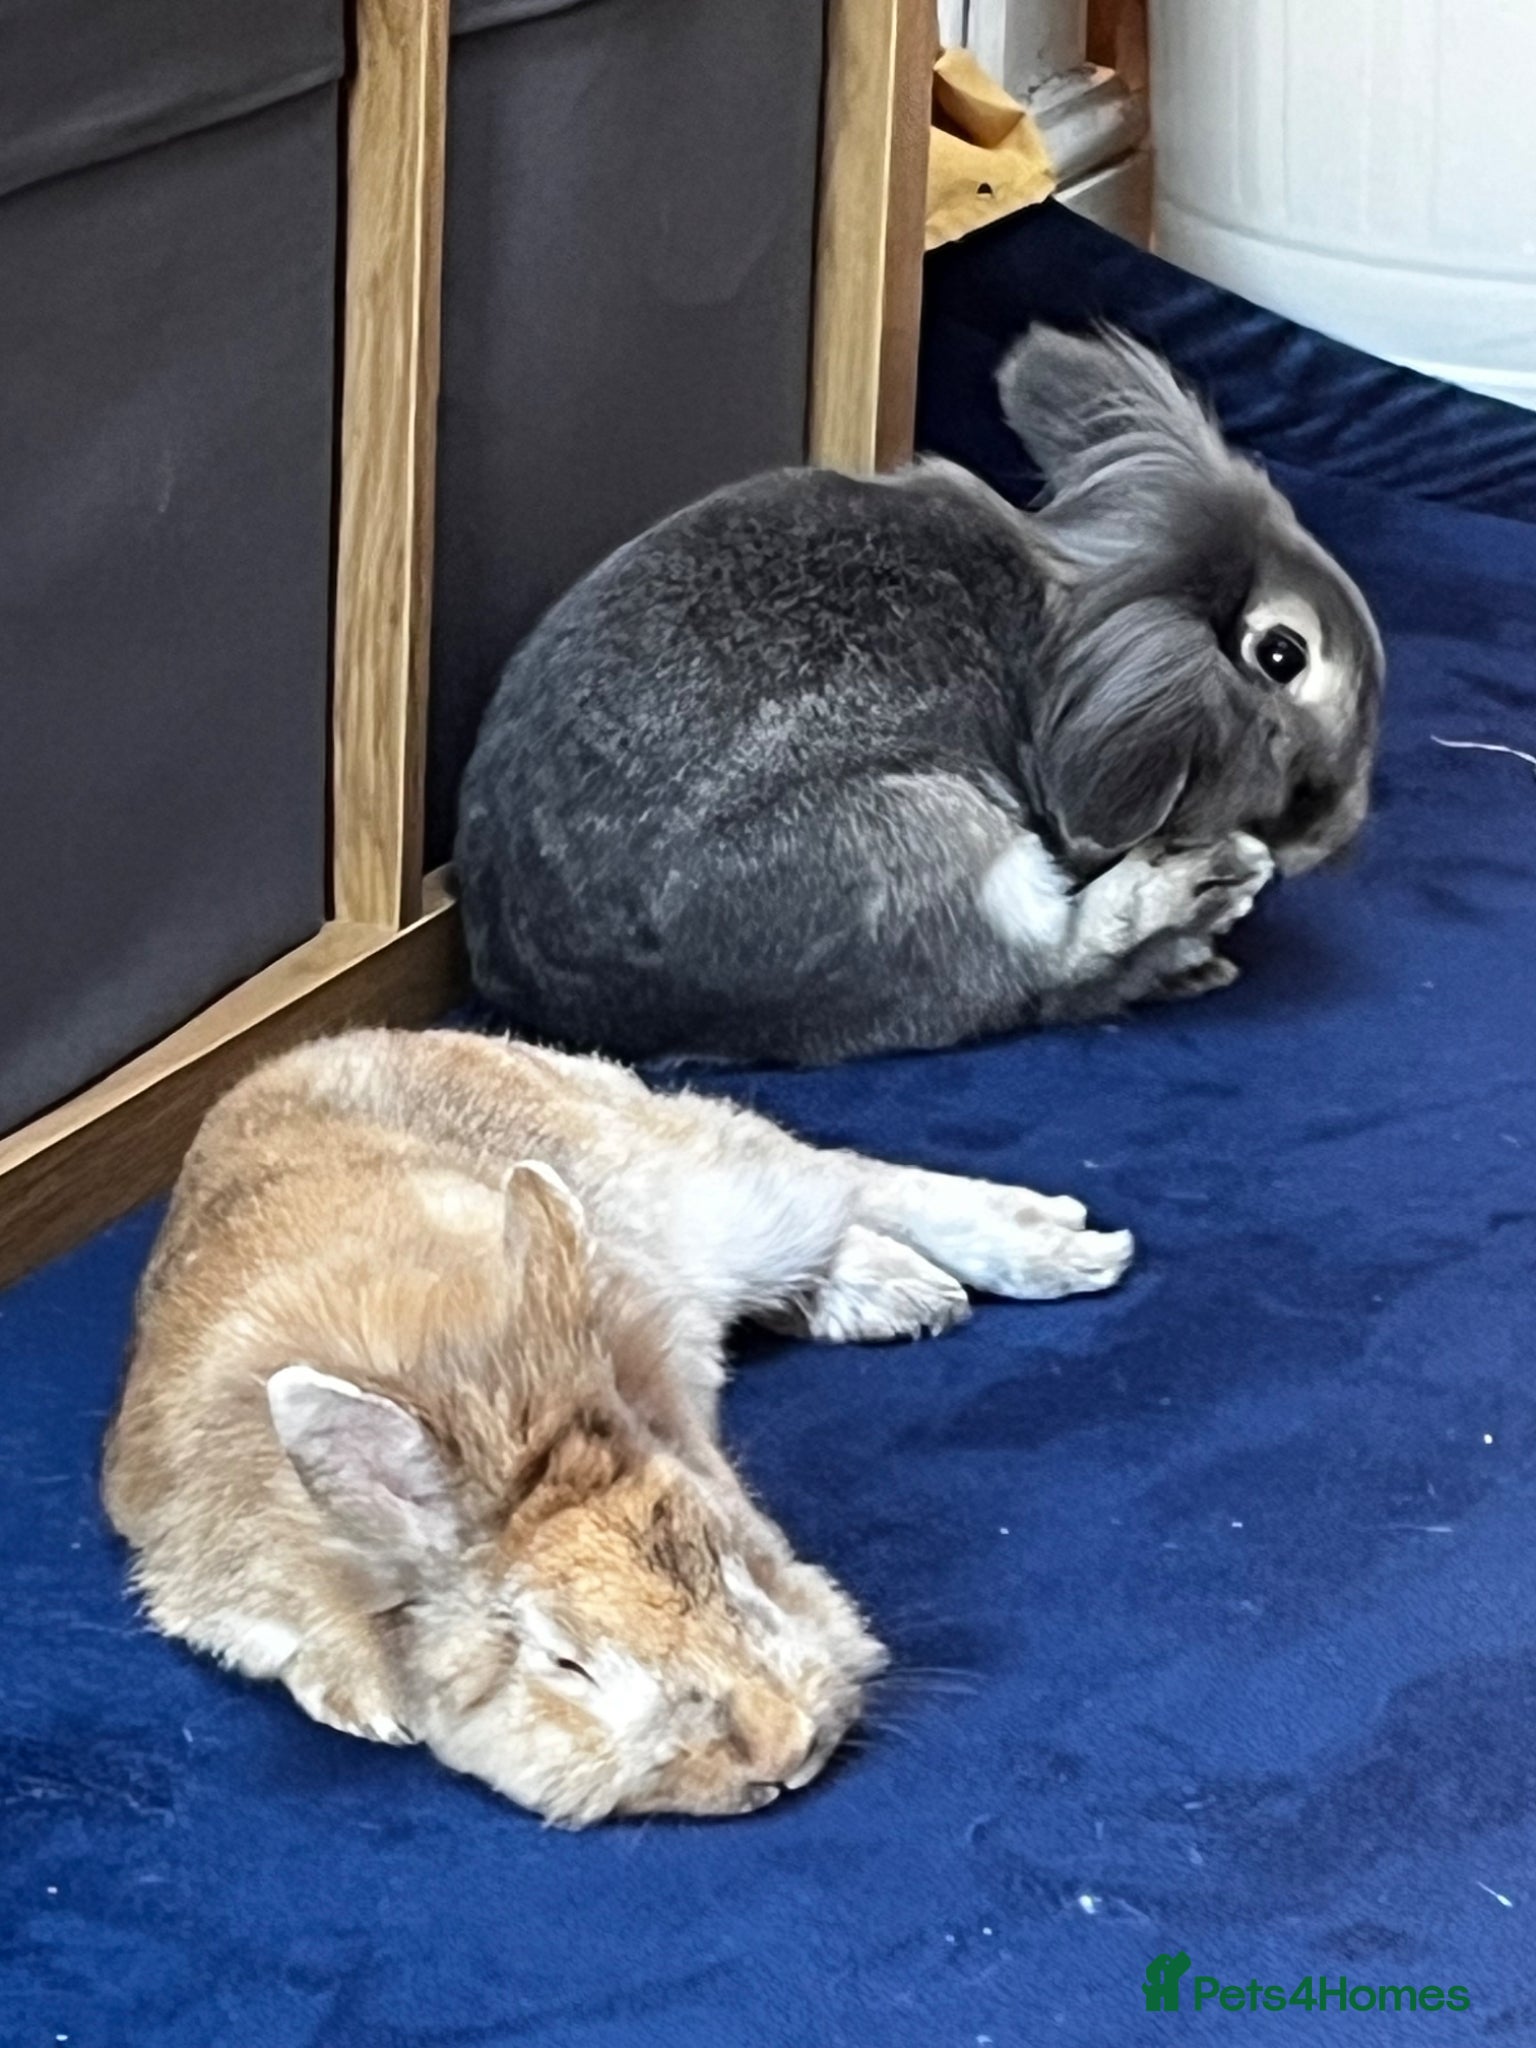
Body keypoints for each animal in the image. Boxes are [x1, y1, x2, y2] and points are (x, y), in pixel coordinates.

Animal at [103, 1027, 1131, 1826]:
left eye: (731, 1560)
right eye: (566, 1664)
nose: (786, 1748)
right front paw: (363, 1708)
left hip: (710, 1192)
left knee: (840, 1181)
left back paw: (1059, 1246)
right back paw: (899, 1293)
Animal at [456, 325, 1384, 1066]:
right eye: (1282, 654)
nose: (1335, 833)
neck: (1079, 633)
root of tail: (593, 1014)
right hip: (928, 836)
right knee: (1036, 979)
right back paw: (1201, 899)